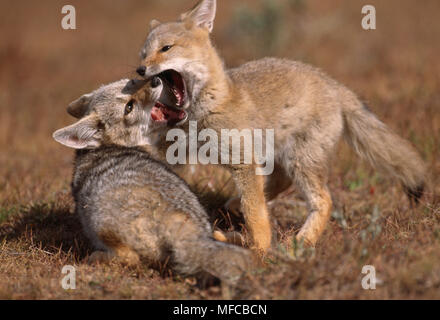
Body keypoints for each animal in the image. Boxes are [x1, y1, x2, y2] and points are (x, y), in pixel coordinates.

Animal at [135, 0, 426, 252]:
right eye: (143, 54)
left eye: (166, 48)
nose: (140, 70)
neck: (204, 110)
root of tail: (333, 83)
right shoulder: (177, 153)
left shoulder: (243, 161)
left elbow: (256, 217)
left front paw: (260, 251)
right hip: (283, 157)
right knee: (276, 185)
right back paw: (237, 210)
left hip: (301, 161)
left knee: (323, 200)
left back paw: (300, 243)